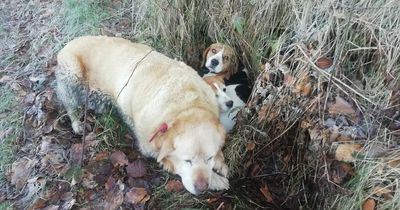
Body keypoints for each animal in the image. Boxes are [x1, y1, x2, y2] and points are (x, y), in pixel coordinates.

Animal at [54, 35, 228, 194]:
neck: (186, 106)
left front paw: (220, 162)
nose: (202, 189)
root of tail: (68, 43)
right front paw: (217, 180)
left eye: (209, 158)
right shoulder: (148, 145)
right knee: (71, 106)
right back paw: (77, 124)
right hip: (72, 75)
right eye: (188, 160)